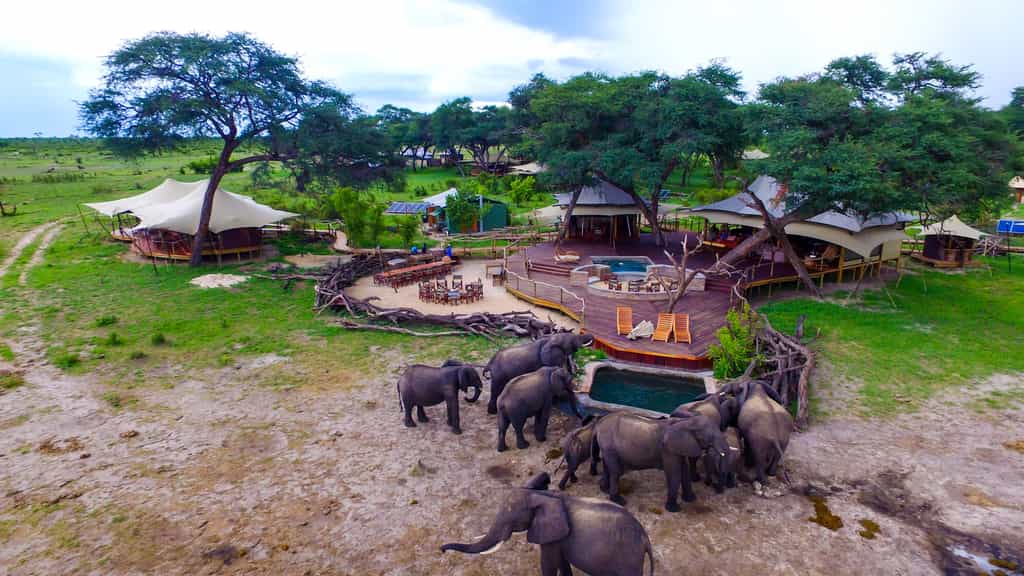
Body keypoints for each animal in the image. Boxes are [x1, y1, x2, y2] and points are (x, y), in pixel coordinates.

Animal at [440, 472, 654, 576]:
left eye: (512, 520)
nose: (441, 550)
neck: (541, 495)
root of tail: (646, 540)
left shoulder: (552, 536)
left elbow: (549, 564)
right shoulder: (559, 538)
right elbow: (561, 562)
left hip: (628, 560)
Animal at [592, 411, 729, 511]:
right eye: (708, 437)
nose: (714, 487)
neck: (686, 422)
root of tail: (598, 424)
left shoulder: (679, 447)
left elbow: (684, 470)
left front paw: (691, 499)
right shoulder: (668, 449)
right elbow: (674, 474)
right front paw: (674, 509)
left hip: (607, 447)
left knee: (608, 467)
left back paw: (604, 489)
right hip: (609, 445)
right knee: (616, 471)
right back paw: (619, 501)